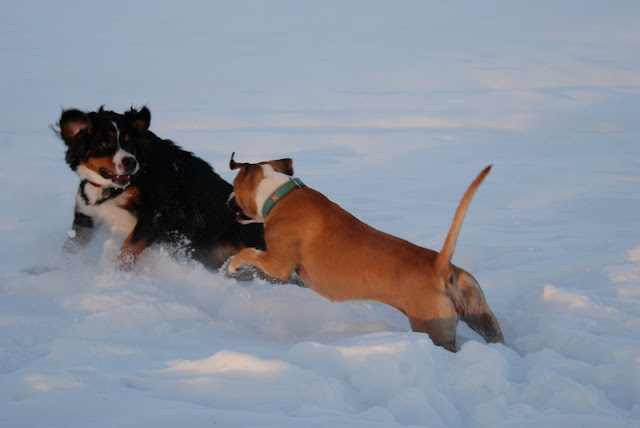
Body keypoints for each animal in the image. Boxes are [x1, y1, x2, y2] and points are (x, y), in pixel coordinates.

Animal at [56, 107, 265, 270]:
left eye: (129, 141)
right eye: (105, 142)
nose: (131, 162)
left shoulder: (163, 211)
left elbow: (128, 248)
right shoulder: (85, 217)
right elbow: (69, 250)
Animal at [227, 153, 504, 351]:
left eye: (234, 186)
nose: (228, 201)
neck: (279, 194)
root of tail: (439, 265)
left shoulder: (277, 264)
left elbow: (248, 252)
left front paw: (232, 265)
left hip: (433, 327)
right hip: (482, 317)